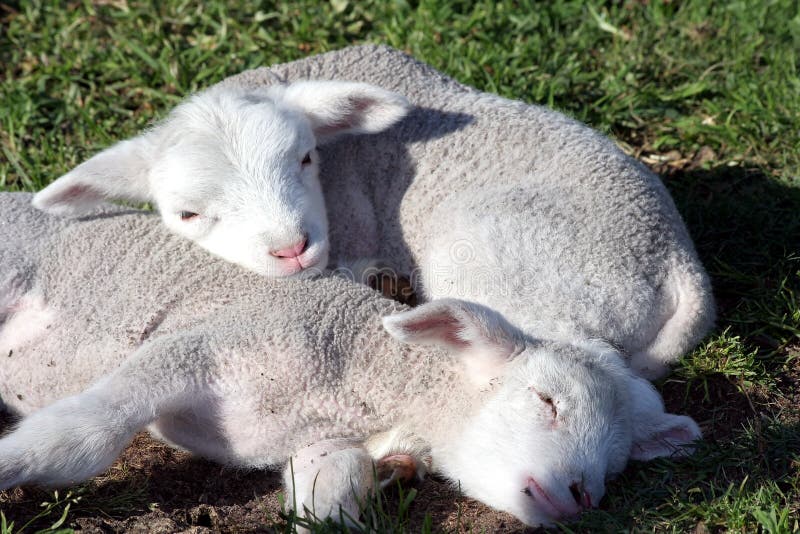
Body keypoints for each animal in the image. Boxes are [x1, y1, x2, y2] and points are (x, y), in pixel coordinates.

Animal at [0, 193, 701, 527]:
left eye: (615, 466)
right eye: (547, 401)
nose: (582, 496)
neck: (356, 375)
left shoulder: (324, 441)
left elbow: (325, 498)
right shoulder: (200, 342)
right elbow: (80, 436)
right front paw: (12, 468)